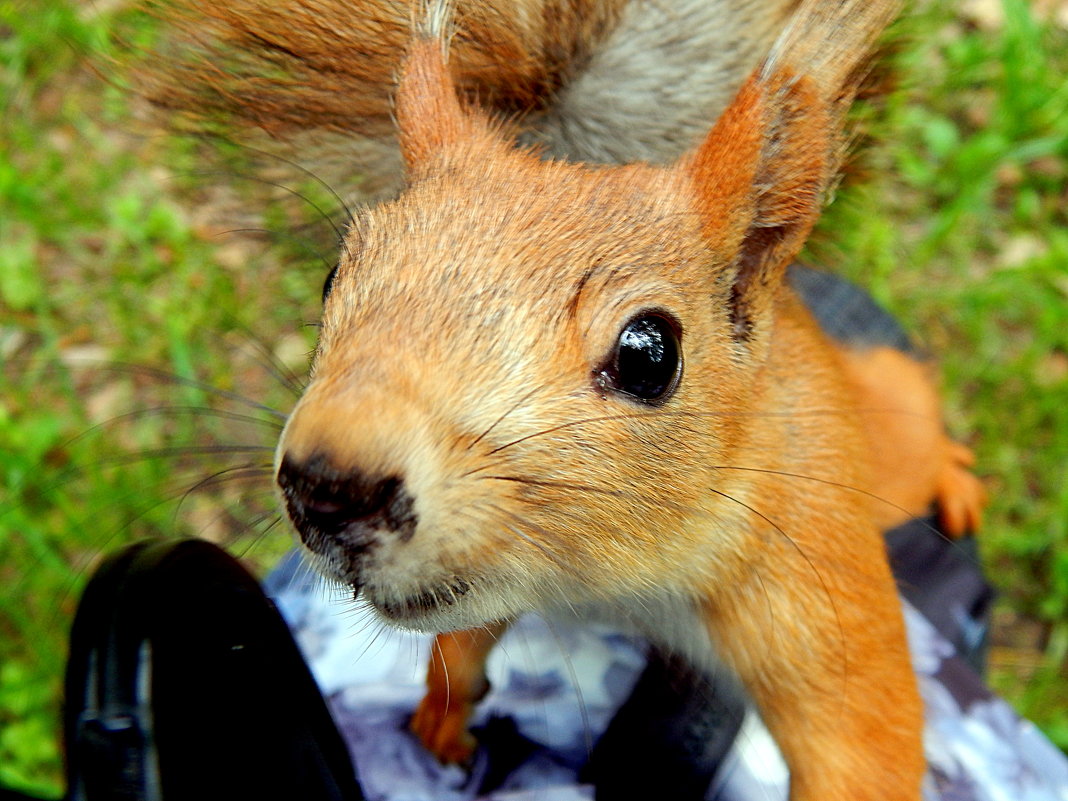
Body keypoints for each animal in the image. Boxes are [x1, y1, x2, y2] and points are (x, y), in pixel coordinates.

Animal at [146, 0, 986, 798]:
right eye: (332, 278)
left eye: (650, 355)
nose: (329, 486)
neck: (613, 585)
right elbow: (464, 635)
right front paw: (440, 717)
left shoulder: (812, 581)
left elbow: (867, 736)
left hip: (883, 453)